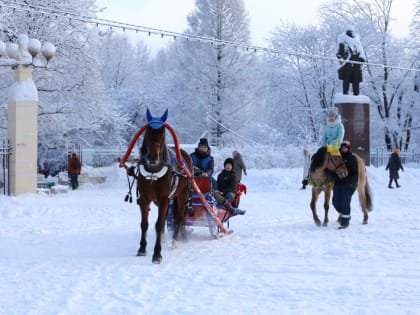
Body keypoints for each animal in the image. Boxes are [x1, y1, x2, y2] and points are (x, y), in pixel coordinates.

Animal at [136, 108, 192, 264]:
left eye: (162, 132)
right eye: (147, 131)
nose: (152, 157)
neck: (153, 172)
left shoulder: (163, 198)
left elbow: (159, 223)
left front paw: (157, 253)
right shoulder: (144, 198)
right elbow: (144, 224)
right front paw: (142, 248)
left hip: (182, 194)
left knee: (179, 217)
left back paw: (175, 240)